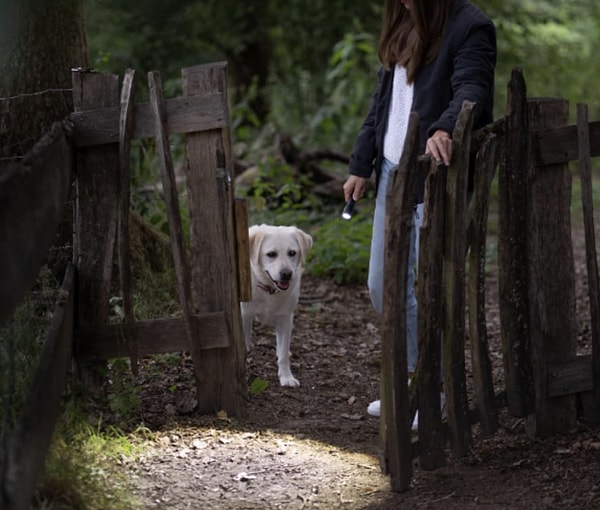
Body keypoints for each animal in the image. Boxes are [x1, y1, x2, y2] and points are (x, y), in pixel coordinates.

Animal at [240, 223, 312, 386]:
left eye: (292, 253)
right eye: (271, 254)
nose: (286, 274)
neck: (270, 290)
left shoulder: (285, 318)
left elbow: (284, 353)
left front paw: (286, 377)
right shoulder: (244, 315)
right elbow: (243, 345)